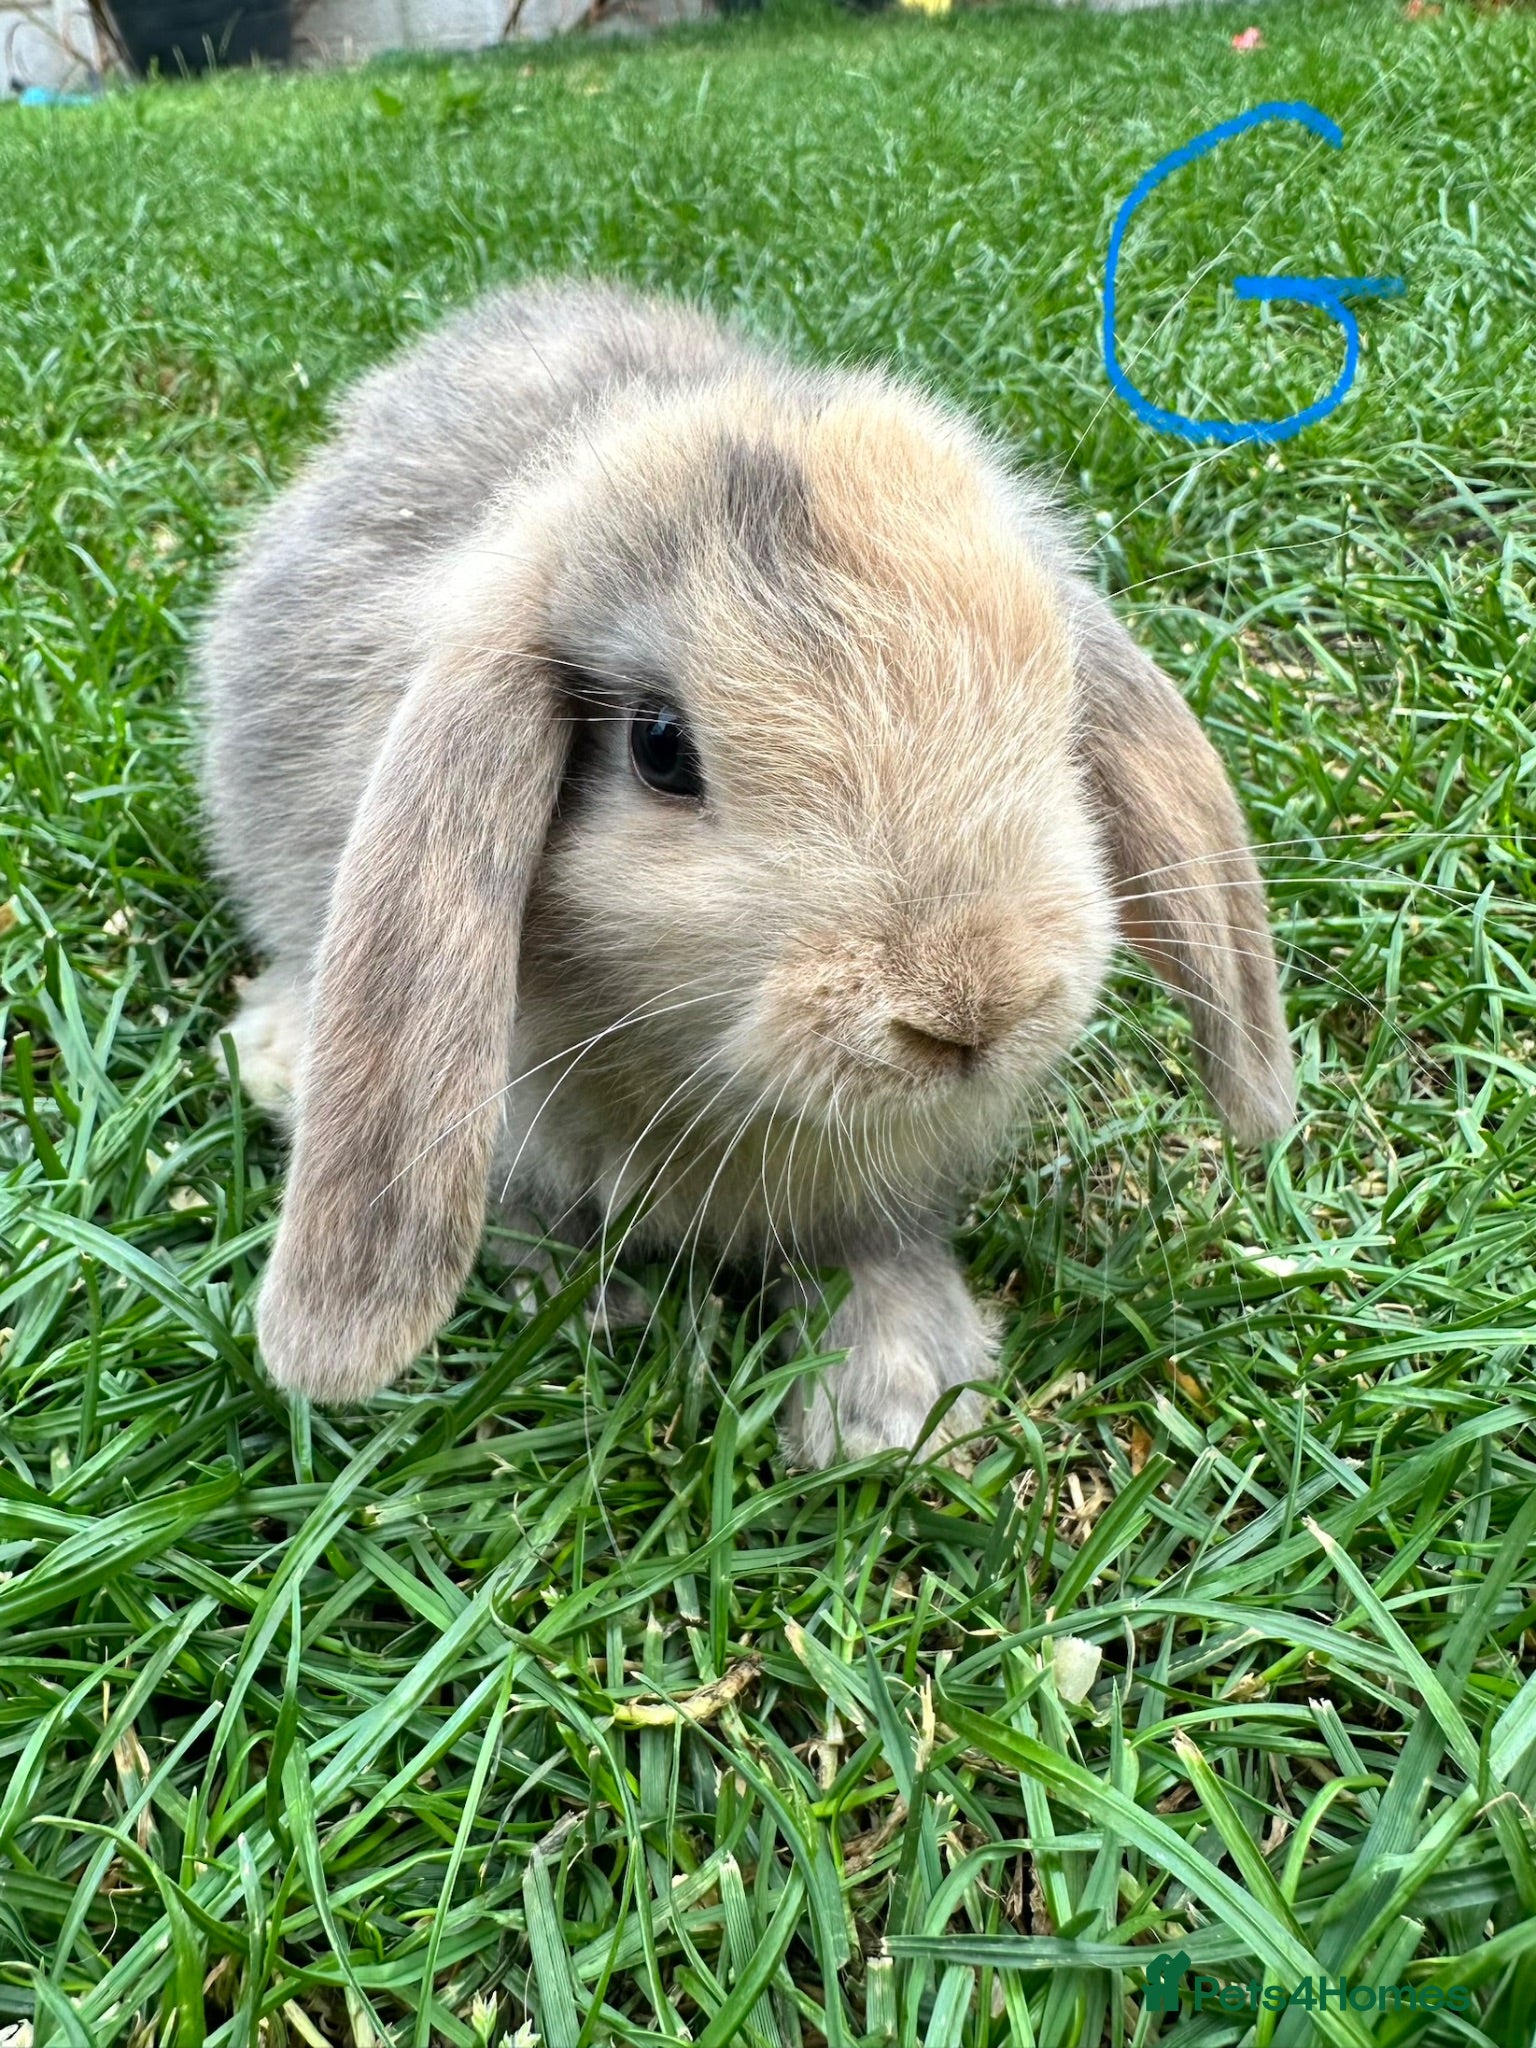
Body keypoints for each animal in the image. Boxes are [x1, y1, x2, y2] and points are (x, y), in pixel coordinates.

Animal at [197, 276, 1295, 1467]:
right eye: (660, 747)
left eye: (1058, 711)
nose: (971, 1008)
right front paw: (601, 1307)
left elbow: (872, 1245)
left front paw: (897, 1402)